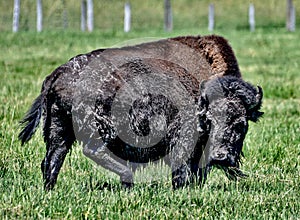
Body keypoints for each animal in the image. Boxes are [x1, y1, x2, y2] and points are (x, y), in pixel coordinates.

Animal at [18, 35, 262, 190]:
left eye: (241, 124)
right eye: (210, 120)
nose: (222, 157)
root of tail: (60, 73)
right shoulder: (182, 140)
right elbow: (182, 169)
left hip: (58, 128)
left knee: (53, 158)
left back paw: (50, 188)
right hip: (101, 129)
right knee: (93, 151)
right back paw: (127, 179)